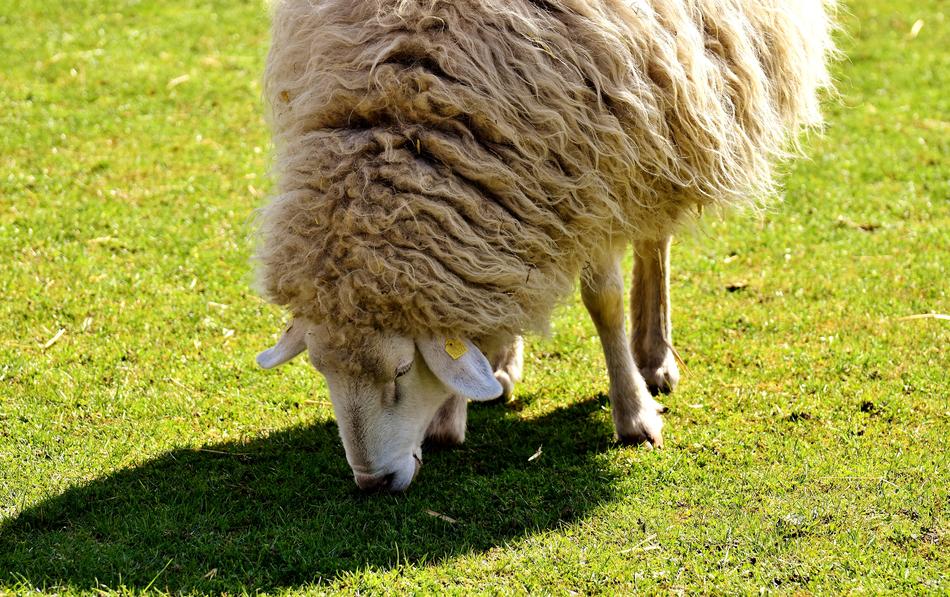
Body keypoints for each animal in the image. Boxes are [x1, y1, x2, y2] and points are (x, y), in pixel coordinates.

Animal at [254, 0, 836, 491]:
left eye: (400, 370)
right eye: (320, 370)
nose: (373, 484)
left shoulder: (595, 171)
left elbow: (604, 302)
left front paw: (634, 416)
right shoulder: (519, 184)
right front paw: (454, 411)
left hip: (669, 121)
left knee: (653, 239)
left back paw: (653, 357)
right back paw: (504, 362)